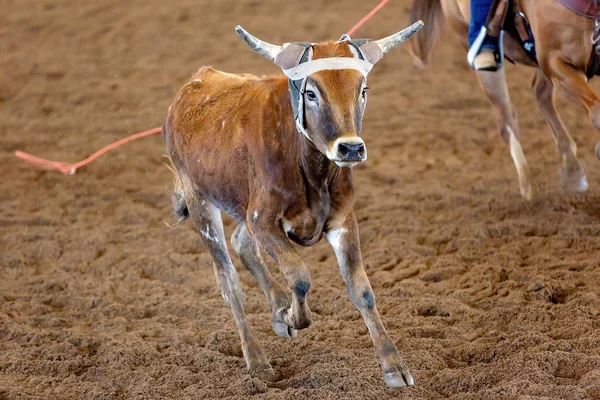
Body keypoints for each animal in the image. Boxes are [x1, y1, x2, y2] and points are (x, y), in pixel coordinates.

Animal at [163, 21, 422, 388]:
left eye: (363, 90)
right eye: (311, 93)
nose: (350, 148)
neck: (310, 169)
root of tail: (195, 83)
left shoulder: (343, 220)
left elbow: (362, 289)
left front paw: (393, 364)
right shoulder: (262, 220)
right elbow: (299, 276)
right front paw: (290, 315)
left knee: (241, 243)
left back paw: (277, 305)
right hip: (199, 201)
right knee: (229, 282)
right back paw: (257, 359)